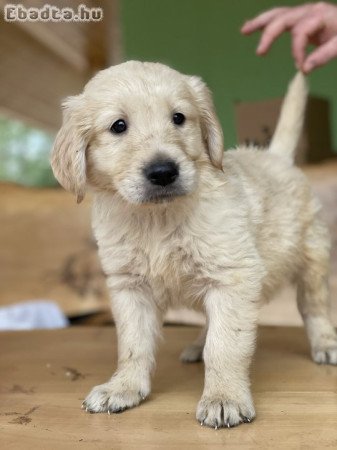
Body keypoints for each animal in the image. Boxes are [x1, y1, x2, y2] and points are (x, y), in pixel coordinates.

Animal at [51, 60, 336, 428]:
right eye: (118, 126)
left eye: (178, 118)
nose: (163, 171)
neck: (157, 218)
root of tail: (277, 157)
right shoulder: (130, 286)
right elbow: (132, 345)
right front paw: (123, 387)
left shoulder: (231, 276)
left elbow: (225, 344)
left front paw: (224, 397)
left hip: (312, 258)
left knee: (314, 307)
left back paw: (325, 343)